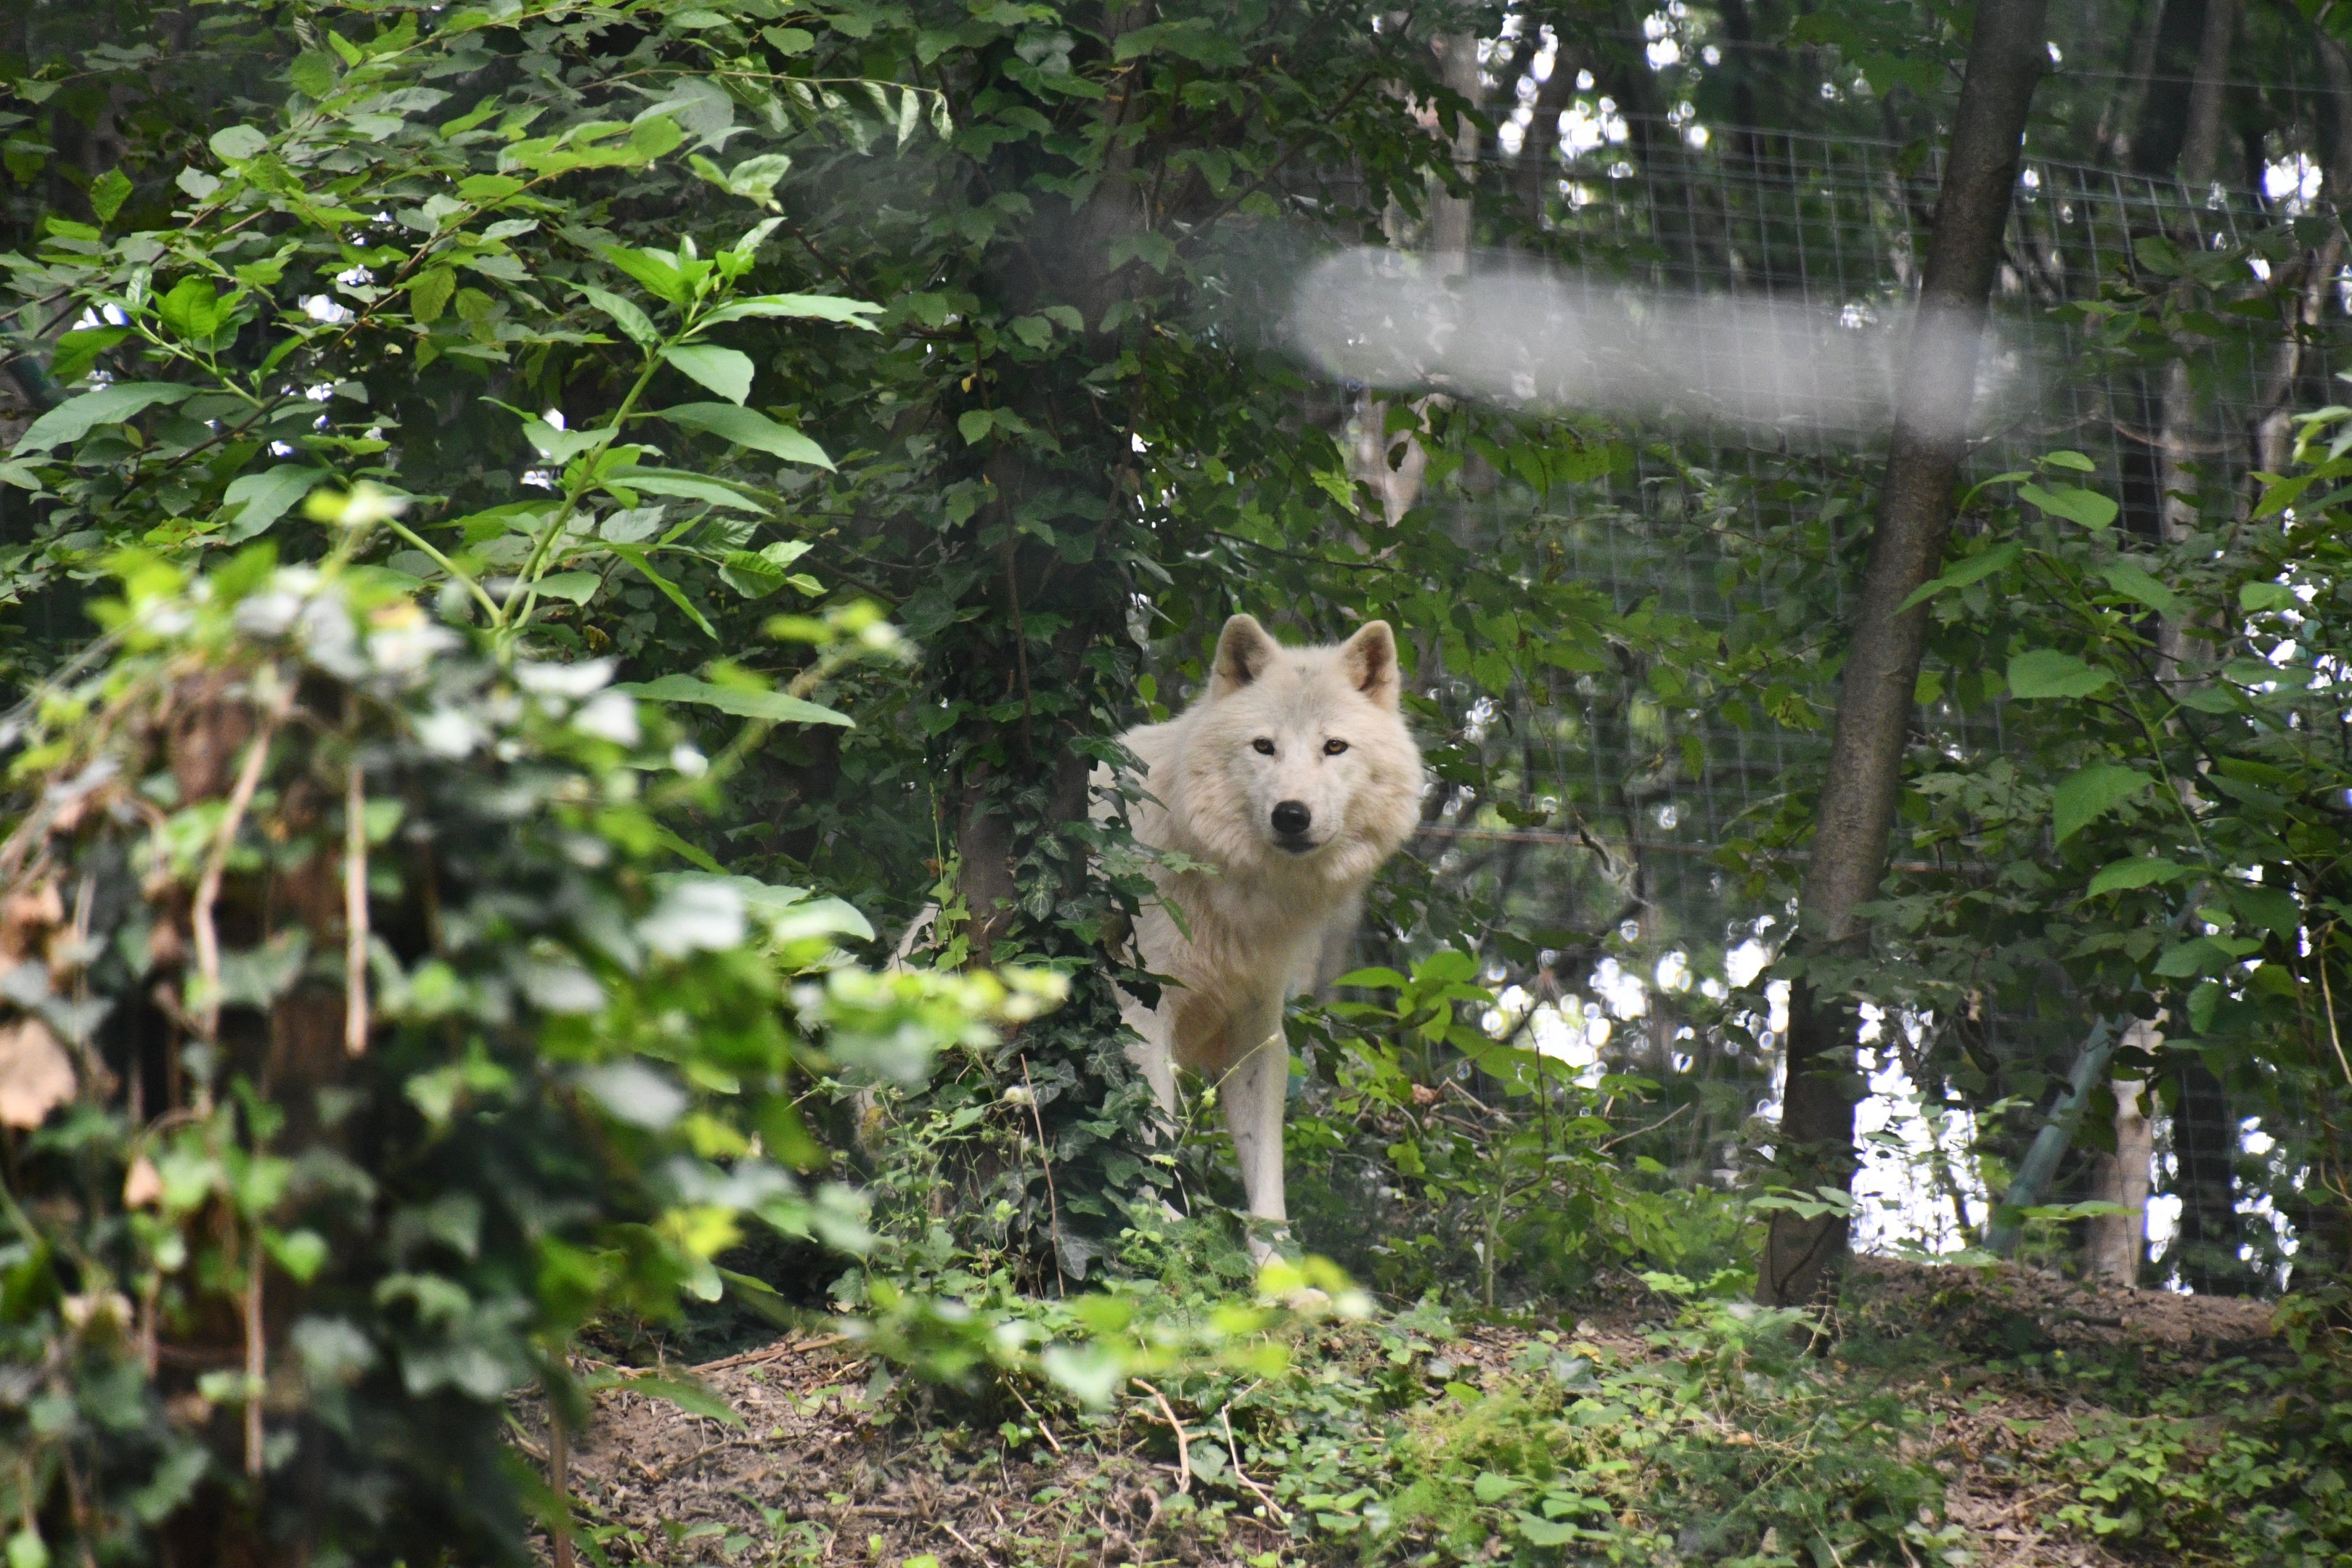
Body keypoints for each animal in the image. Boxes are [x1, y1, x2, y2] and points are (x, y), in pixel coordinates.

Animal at [1110, 614, 1423, 1257]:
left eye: (1334, 747)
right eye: (1263, 747)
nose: (1291, 815)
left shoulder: (1257, 1028)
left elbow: (1265, 1168)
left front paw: (1280, 1267)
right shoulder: (1143, 1010)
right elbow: (1153, 1132)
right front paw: (1164, 1230)